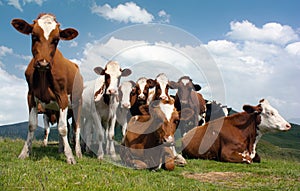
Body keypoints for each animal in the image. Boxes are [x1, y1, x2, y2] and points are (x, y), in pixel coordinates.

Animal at [11, 13, 83, 164]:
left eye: (56, 40)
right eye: (34, 36)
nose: (43, 63)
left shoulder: (62, 97)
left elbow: (63, 128)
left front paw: (70, 156)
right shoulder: (31, 96)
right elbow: (32, 125)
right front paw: (25, 152)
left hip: (77, 103)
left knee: (76, 127)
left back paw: (78, 151)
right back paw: (61, 149)